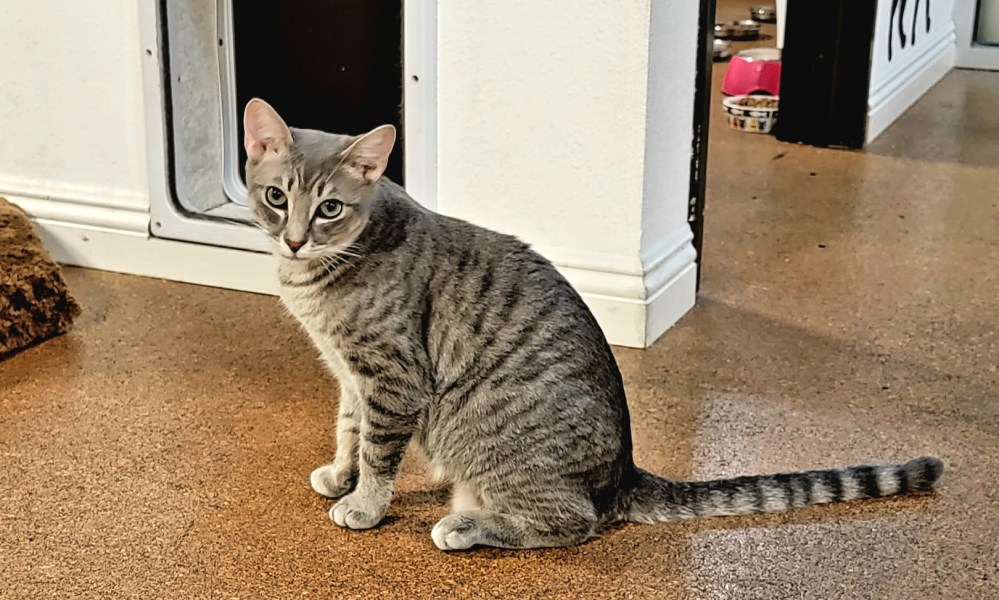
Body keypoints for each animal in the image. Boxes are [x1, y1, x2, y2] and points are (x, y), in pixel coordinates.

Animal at [242, 99, 944, 552]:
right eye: (277, 198)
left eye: (330, 208)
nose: (295, 239)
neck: (324, 276)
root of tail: (625, 474)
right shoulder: (351, 376)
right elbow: (348, 432)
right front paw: (341, 475)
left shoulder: (392, 379)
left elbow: (379, 453)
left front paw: (364, 504)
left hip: (497, 451)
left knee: (571, 523)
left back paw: (466, 527)